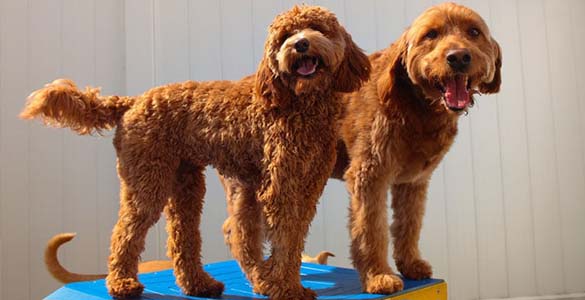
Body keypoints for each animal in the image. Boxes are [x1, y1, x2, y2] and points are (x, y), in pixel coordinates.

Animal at [22, 5, 370, 298]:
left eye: (317, 28)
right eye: (285, 36)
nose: (300, 45)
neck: (301, 104)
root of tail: (132, 101)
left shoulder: (308, 186)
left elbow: (295, 236)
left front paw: (279, 282)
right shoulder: (280, 187)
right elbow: (285, 237)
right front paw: (287, 288)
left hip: (184, 182)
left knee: (181, 237)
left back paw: (199, 284)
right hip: (147, 179)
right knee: (125, 231)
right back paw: (122, 284)